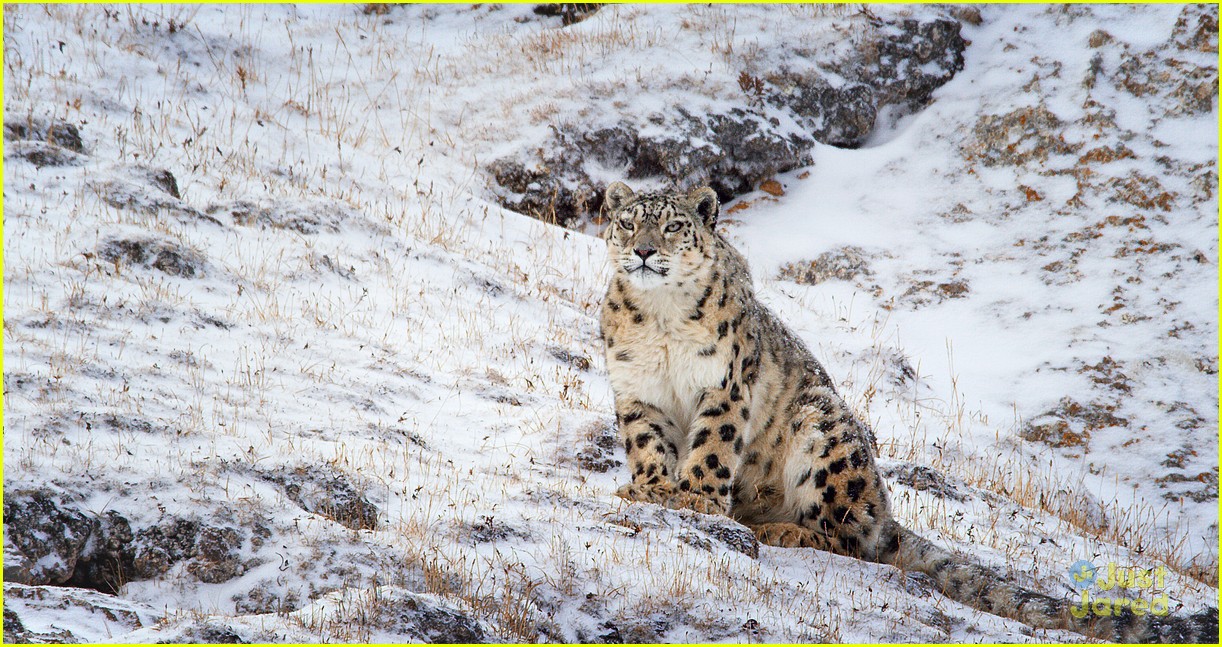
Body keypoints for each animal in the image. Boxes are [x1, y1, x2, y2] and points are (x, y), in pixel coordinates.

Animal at [598, 181, 1217, 643]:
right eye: (628, 222)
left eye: (672, 226)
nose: (645, 250)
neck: (661, 320)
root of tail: (883, 505)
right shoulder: (636, 388)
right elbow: (647, 442)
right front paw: (651, 488)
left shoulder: (725, 385)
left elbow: (712, 445)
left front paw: (694, 498)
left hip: (825, 433)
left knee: (851, 537)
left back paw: (783, 530)